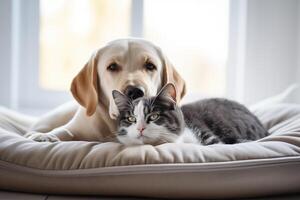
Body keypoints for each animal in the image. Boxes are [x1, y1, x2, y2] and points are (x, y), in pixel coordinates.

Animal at [25, 38, 185, 142]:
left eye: (150, 66)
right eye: (112, 67)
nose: (135, 92)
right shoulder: (77, 127)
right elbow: (64, 130)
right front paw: (46, 136)